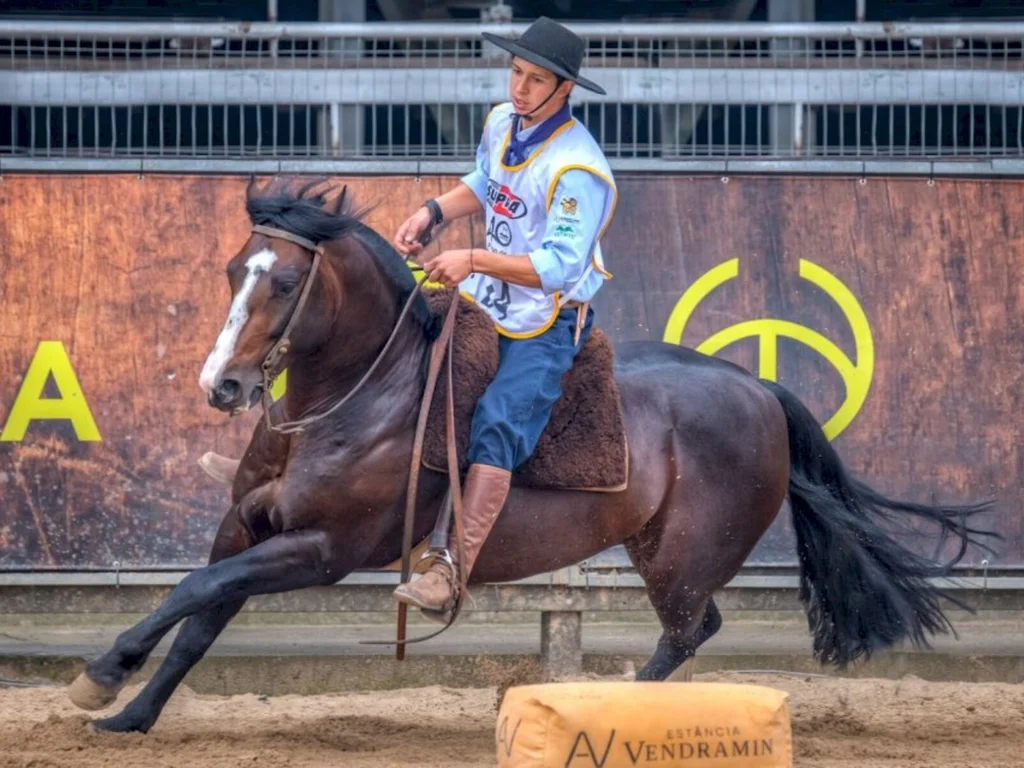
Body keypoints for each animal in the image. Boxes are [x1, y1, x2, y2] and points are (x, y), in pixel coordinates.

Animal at [66, 176, 996, 733]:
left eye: (287, 283)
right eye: (234, 270)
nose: (220, 385)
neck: (359, 399)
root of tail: (760, 389)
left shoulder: (321, 551)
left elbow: (192, 593)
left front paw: (102, 672)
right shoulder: (248, 528)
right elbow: (200, 613)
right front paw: (128, 715)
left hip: (683, 556)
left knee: (690, 630)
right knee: (693, 632)